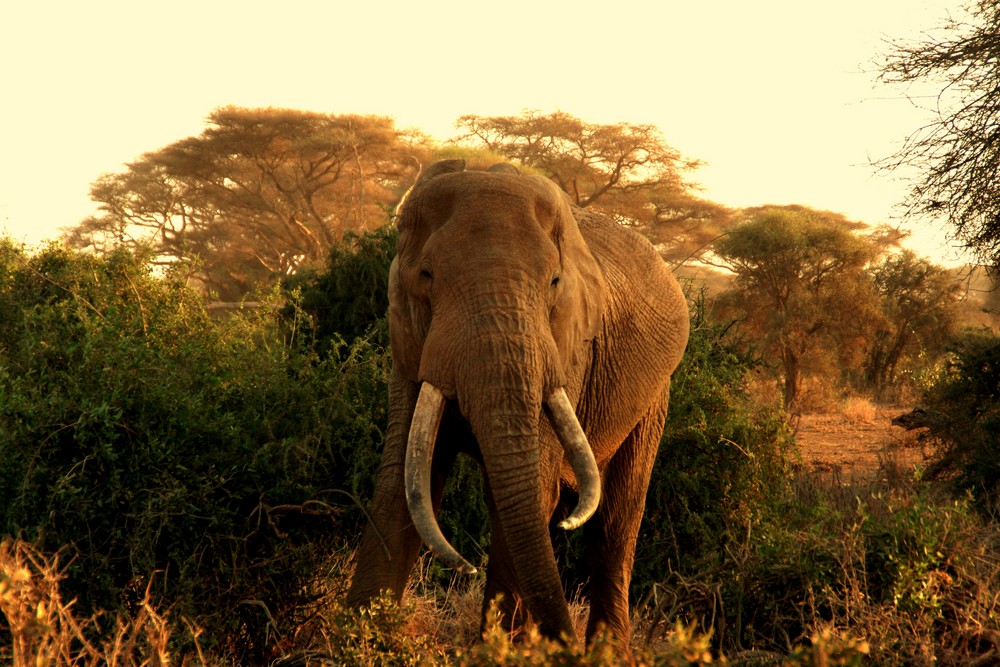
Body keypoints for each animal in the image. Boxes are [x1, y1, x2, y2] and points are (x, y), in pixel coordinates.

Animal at [346, 159, 688, 644]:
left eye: (555, 282)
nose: (465, 569)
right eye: (426, 276)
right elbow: (404, 483)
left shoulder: (566, 351)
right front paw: (349, 643)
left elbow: (528, 494)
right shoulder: (409, 347)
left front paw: (498, 650)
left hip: (655, 396)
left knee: (614, 526)